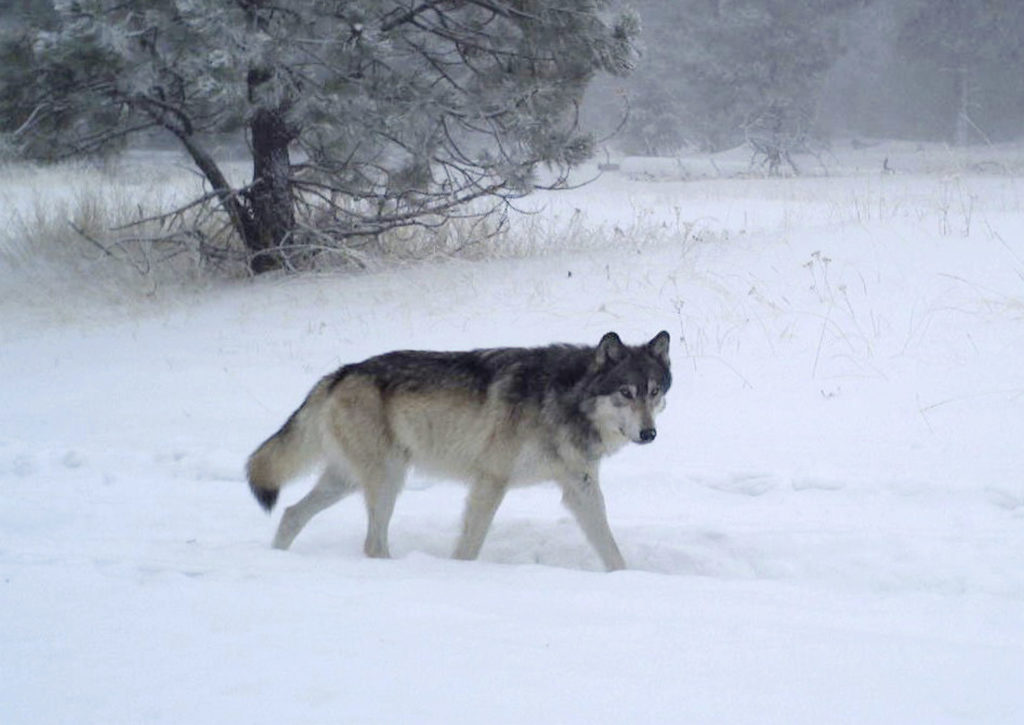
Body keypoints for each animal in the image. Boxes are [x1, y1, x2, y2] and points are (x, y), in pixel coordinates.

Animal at [243, 329, 667, 573]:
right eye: (625, 392)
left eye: (653, 392)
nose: (649, 433)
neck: (564, 398)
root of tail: (338, 374)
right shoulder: (491, 481)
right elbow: (469, 545)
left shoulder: (581, 488)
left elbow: (609, 546)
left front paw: (626, 578)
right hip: (388, 480)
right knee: (371, 544)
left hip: (347, 482)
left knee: (291, 514)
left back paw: (277, 557)